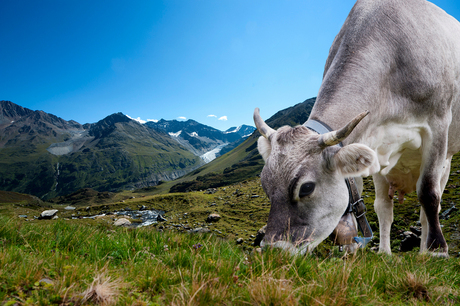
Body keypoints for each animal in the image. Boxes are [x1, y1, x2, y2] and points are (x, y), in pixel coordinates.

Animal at [255, 0, 460, 258]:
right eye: (265, 184)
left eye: (306, 188)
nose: (273, 250)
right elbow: (360, 196)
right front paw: (351, 248)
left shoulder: (438, 124)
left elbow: (429, 194)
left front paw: (437, 249)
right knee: (384, 207)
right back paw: (384, 252)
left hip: (446, 159)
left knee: (430, 204)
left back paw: (424, 249)